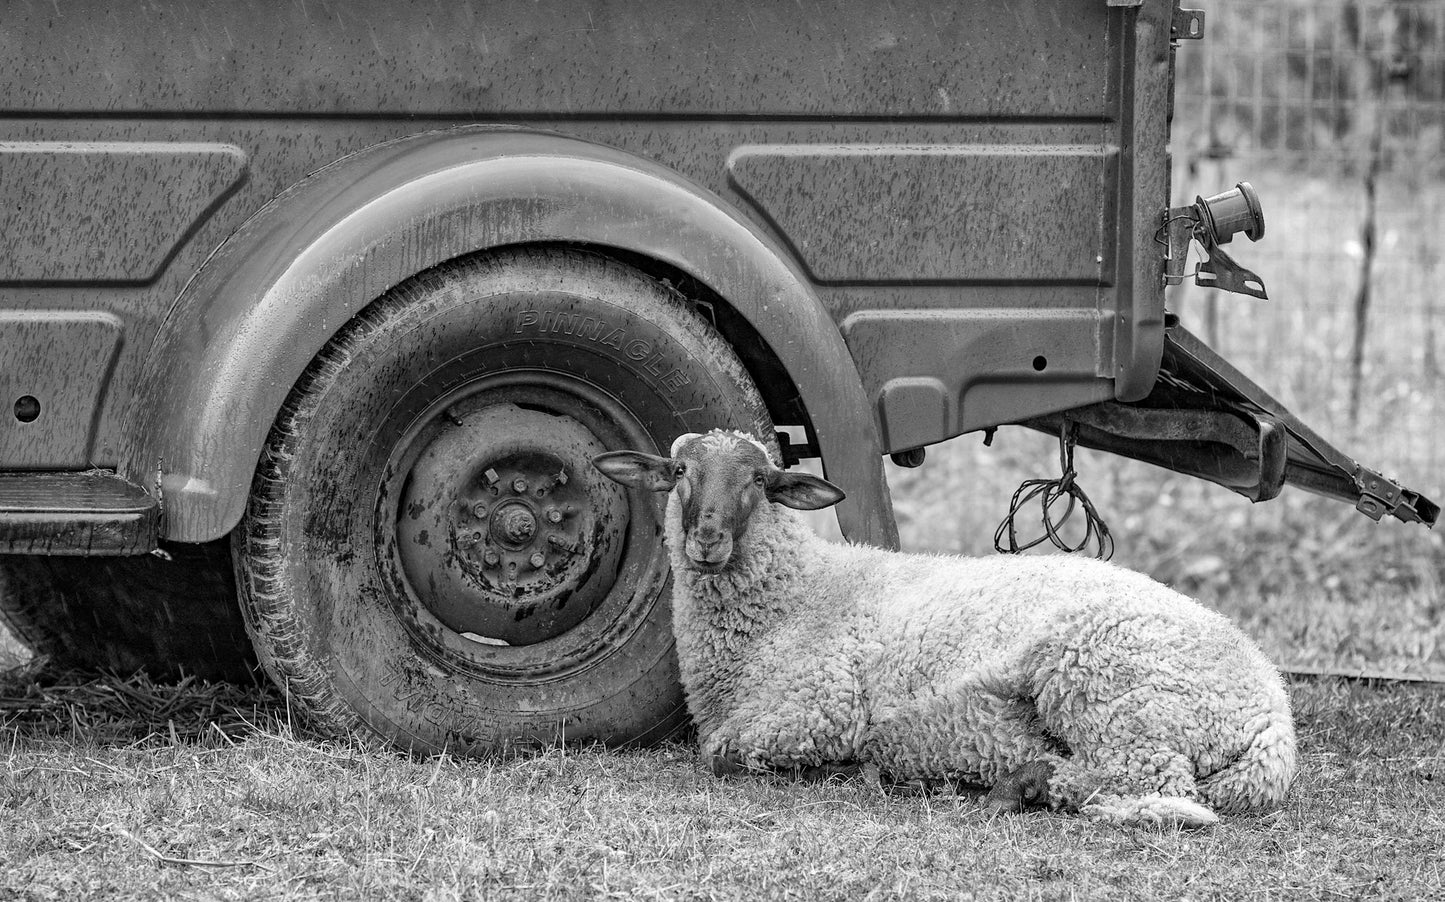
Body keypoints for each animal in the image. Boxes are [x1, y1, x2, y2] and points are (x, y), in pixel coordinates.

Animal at [592, 429, 1297, 828]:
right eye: (680, 472)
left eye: (761, 481)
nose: (707, 539)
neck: (796, 596)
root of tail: (1272, 706)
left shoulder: (817, 706)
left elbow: (722, 754)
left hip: (1106, 682)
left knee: (1154, 782)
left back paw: (1035, 786)